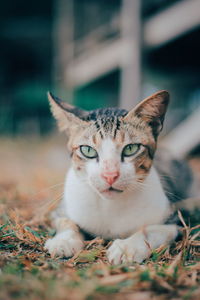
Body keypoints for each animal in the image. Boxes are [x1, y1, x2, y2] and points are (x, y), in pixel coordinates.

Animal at [44, 90, 195, 264]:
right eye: (87, 150)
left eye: (131, 148)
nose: (110, 175)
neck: (109, 206)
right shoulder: (60, 209)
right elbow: (65, 221)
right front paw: (64, 240)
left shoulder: (175, 221)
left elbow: (151, 230)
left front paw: (127, 247)